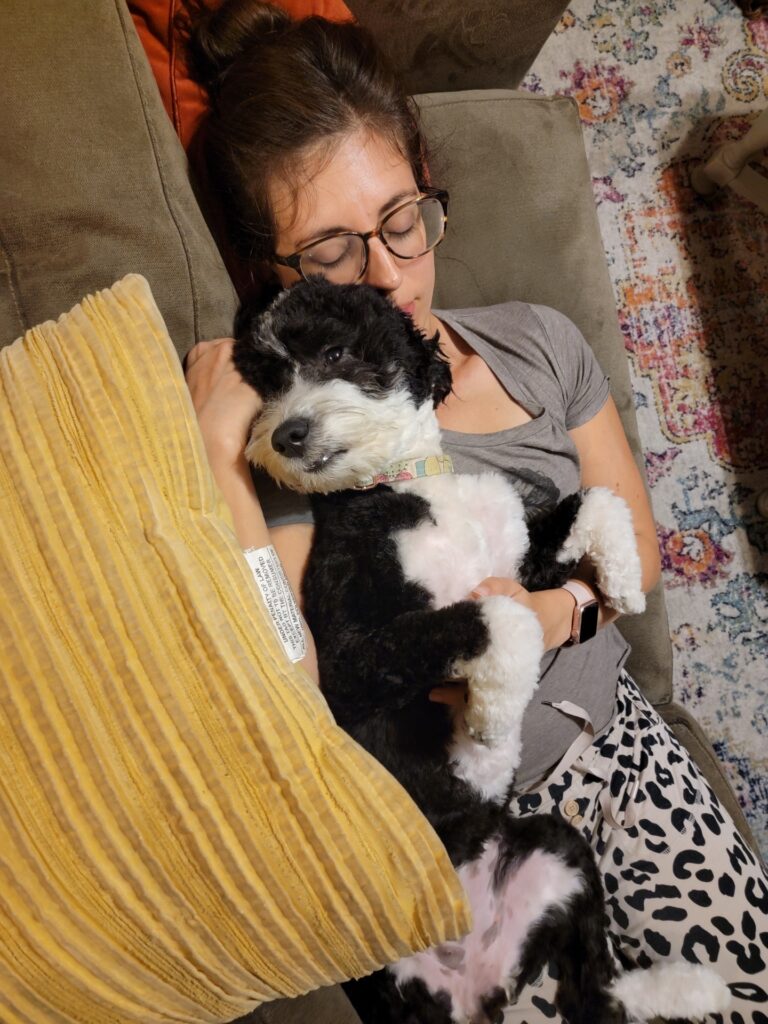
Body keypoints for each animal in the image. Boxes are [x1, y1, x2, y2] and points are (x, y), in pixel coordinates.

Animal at [234, 276, 733, 1024]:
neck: (411, 482)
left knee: (597, 991)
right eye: (267, 379)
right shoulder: (350, 661)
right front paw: (495, 713)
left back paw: (688, 987)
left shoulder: (521, 562)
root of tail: (477, 984)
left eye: (335, 351)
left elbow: (595, 501)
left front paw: (620, 580)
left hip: (556, 848)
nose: (286, 436)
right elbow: (501, 617)